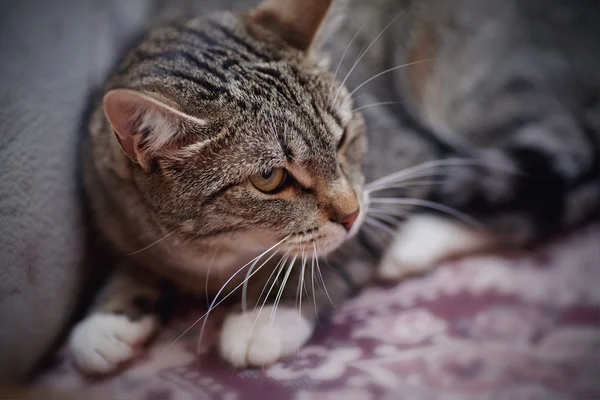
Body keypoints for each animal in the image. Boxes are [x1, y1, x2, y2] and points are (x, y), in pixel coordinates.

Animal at [70, 0, 600, 376]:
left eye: (342, 136)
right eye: (269, 178)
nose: (349, 214)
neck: (216, 256)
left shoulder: (406, 158)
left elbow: (344, 249)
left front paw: (269, 316)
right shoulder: (118, 210)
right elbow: (136, 260)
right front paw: (109, 318)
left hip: (481, 91)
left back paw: (416, 240)